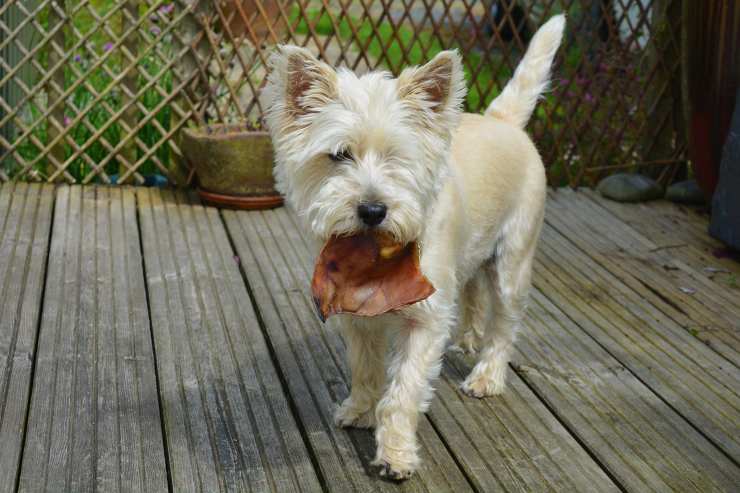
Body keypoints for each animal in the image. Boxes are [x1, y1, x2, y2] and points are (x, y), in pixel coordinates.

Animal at [264, 14, 568, 476]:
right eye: (339, 155)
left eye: (398, 157)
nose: (373, 210)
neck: (375, 257)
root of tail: (503, 121)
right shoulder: (356, 316)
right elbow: (365, 368)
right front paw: (359, 409)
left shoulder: (425, 319)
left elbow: (403, 391)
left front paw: (395, 454)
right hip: (473, 255)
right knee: (474, 294)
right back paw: (467, 339)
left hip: (512, 260)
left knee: (504, 323)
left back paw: (486, 376)